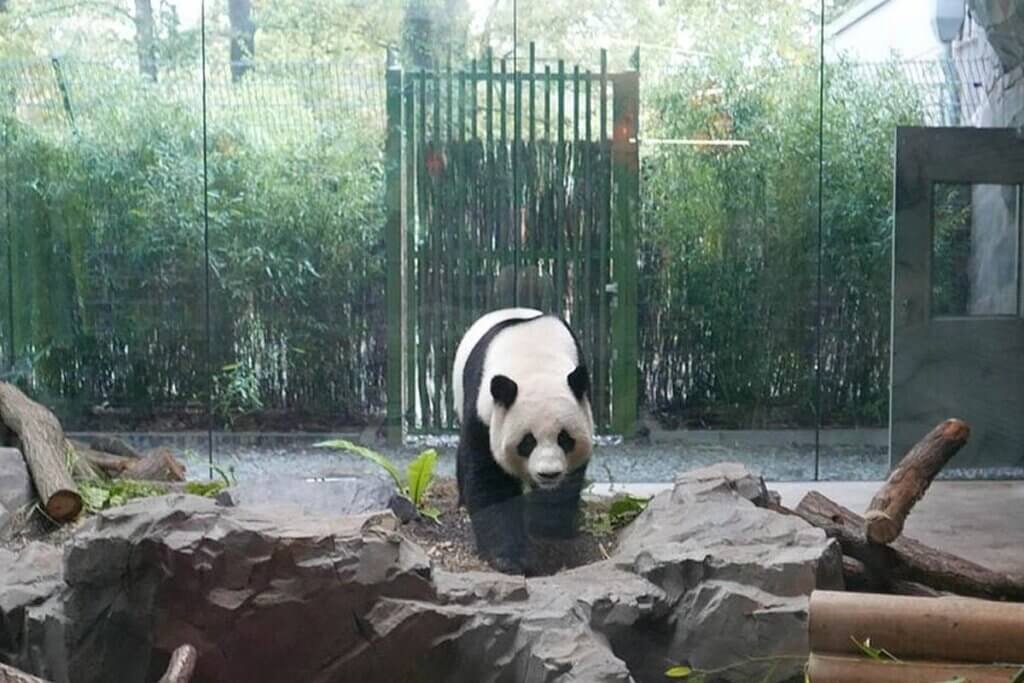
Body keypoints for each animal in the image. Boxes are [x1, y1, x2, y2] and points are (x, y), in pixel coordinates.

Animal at [452, 307, 594, 575]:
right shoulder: (483, 413)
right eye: (527, 442)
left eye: (564, 439)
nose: (548, 474)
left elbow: (564, 489)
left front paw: (549, 536)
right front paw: (506, 558)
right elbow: (489, 479)